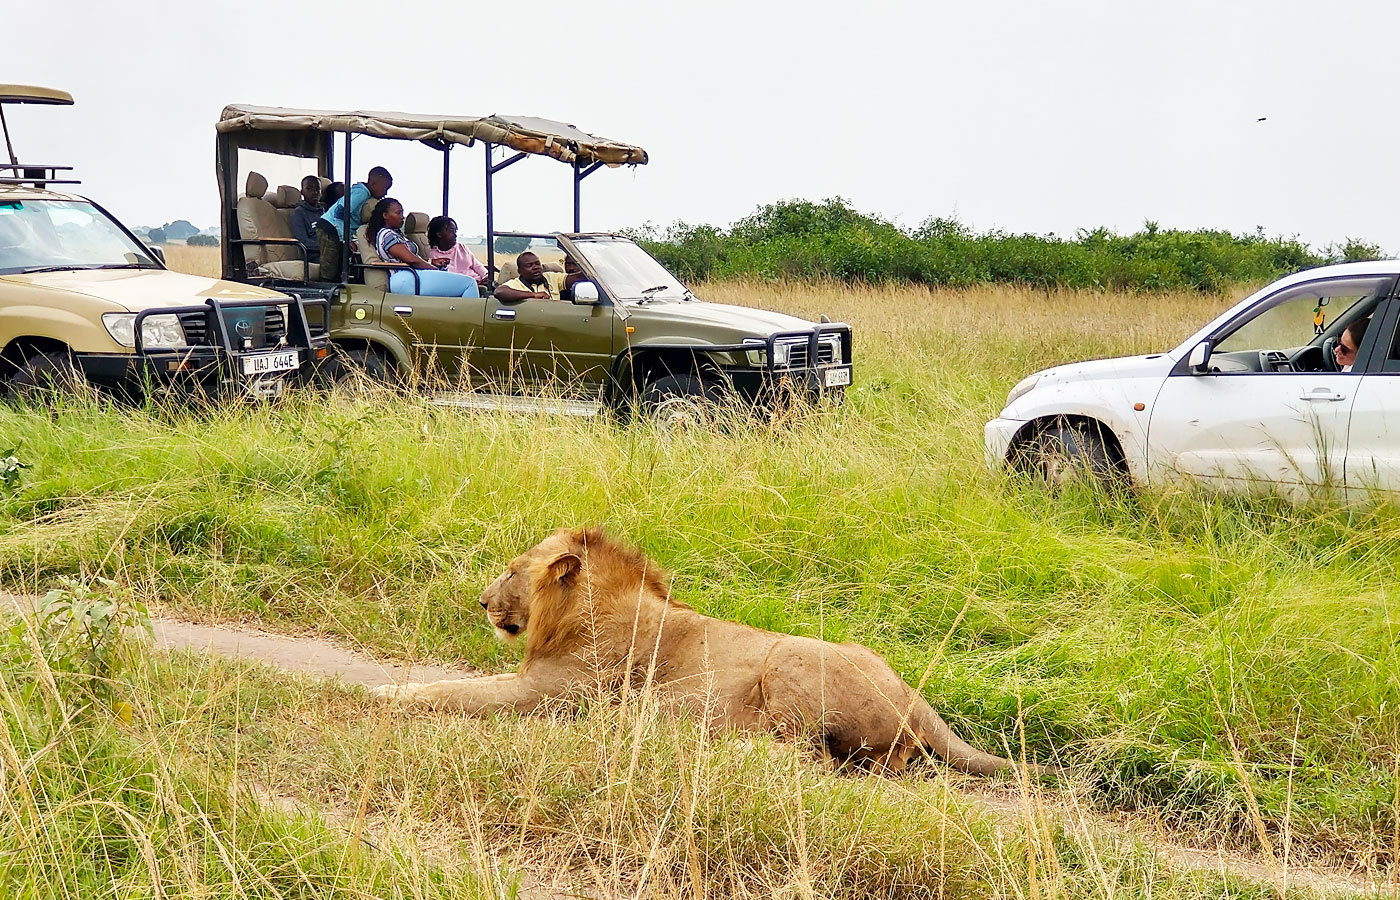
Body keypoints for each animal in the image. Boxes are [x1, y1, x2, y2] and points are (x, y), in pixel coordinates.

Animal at [375, 529, 1019, 772]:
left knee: (810, 757)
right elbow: (456, 683)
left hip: (789, 662)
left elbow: (453, 692)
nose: (482, 601)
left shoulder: (545, 695)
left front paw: (386, 694)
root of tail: (917, 698)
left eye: (512, 571)